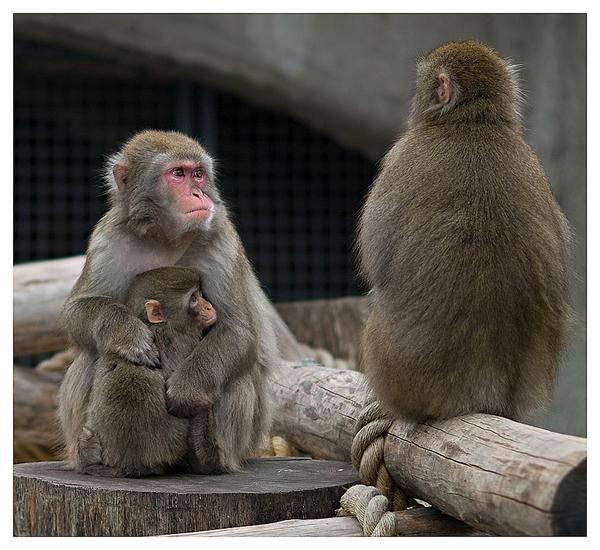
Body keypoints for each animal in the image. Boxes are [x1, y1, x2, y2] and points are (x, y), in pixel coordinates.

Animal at [61, 268, 220, 478]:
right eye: (194, 298)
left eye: (200, 295)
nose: (209, 307)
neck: (162, 325)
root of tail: (132, 463)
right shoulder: (187, 340)